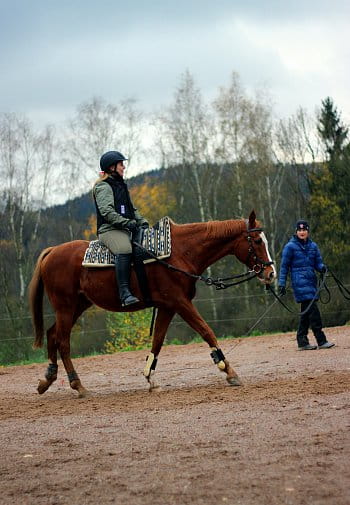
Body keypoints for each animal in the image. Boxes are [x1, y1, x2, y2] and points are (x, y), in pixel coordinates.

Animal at [28, 208, 276, 394]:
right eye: (256, 240)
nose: (271, 273)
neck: (180, 251)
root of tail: (52, 251)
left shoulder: (167, 307)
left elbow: (158, 341)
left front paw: (150, 378)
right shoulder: (180, 303)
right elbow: (206, 331)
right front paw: (229, 371)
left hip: (77, 306)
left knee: (52, 335)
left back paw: (47, 379)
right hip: (66, 307)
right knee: (63, 342)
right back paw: (77, 385)